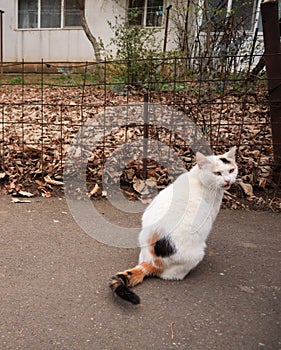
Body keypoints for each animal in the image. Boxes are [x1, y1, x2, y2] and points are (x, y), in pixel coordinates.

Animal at [109, 146, 236, 304]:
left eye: (231, 170)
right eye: (217, 173)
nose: (228, 180)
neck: (198, 177)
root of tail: (152, 261)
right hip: (196, 254)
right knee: (169, 275)